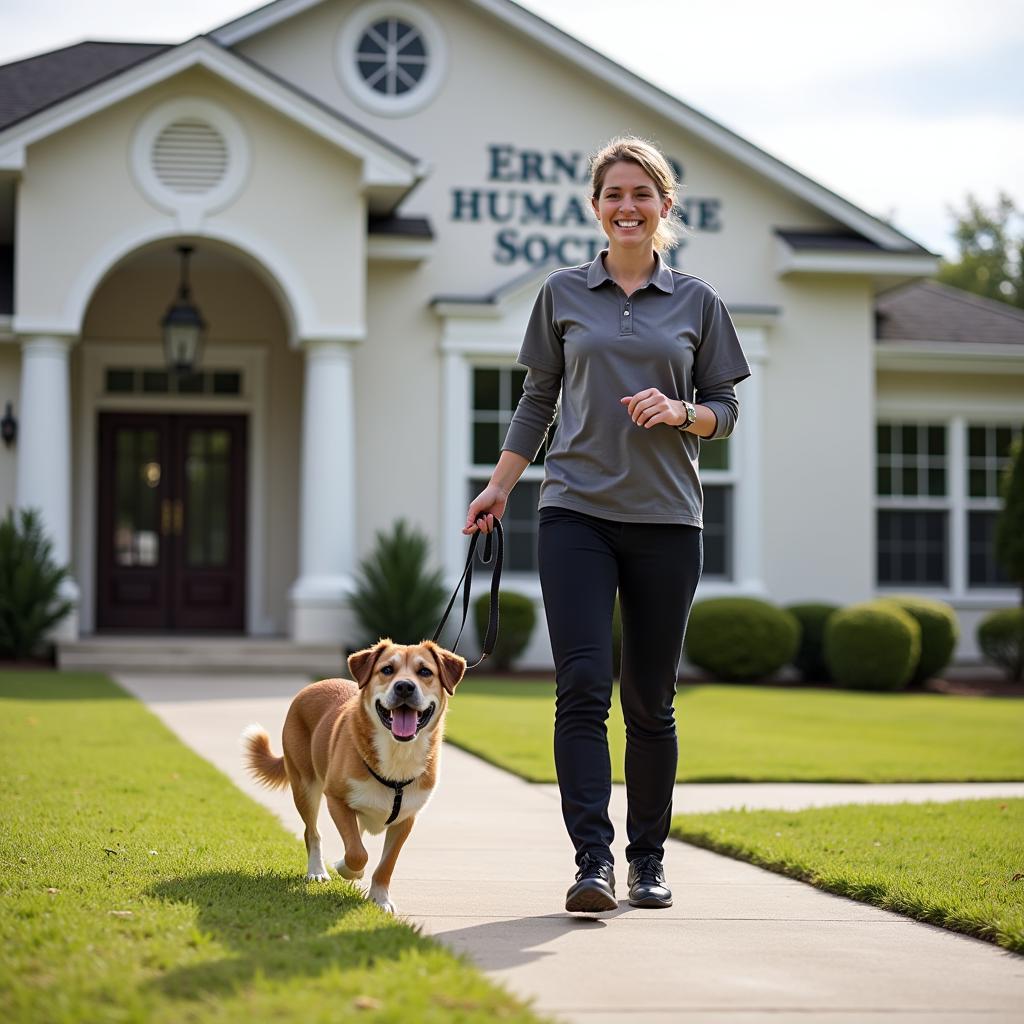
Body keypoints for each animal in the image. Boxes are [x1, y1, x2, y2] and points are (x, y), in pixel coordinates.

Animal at [241, 638, 466, 913]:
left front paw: (380, 898)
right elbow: (358, 854)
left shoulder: (406, 819)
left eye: (425, 671)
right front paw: (346, 869)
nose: (404, 686)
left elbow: (386, 864)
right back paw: (317, 871)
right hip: (305, 786)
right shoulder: (337, 800)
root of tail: (315, 684)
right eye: (387, 669)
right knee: (312, 833)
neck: (396, 753)